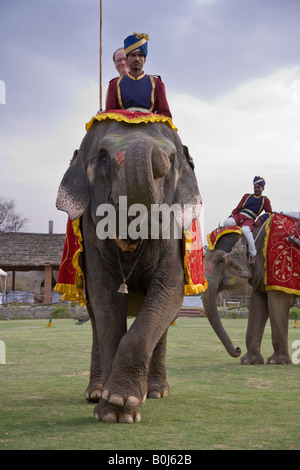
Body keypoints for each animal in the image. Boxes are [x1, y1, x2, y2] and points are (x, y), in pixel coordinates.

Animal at [55, 116, 202, 422]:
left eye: (173, 159)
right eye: (102, 157)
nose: (161, 158)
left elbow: (169, 290)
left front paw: (124, 401)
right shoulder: (90, 235)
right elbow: (106, 301)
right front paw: (113, 410)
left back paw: (157, 391)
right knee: (94, 320)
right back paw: (95, 392)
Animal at [203, 213, 298, 364]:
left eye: (220, 261)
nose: (237, 349)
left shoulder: (281, 271)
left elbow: (277, 303)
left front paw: (276, 361)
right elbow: (257, 304)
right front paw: (249, 361)